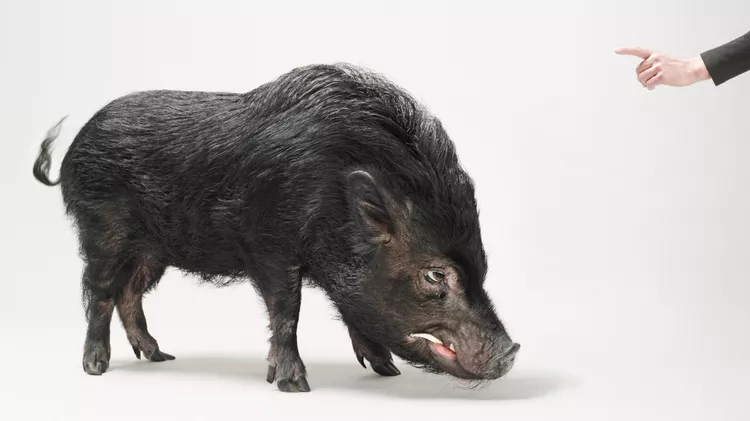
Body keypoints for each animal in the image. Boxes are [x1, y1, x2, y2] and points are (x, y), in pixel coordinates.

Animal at [32, 63, 520, 393]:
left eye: (482, 267)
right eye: (435, 274)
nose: (513, 350)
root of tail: (74, 147)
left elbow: (351, 308)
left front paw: (386, 371)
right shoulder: (270, 248)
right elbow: (287, 311)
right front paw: (293, 384)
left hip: (153, 251)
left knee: (129, 293)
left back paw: (160, 357)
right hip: (102, 230)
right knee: (99, 292)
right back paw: (96, 367)